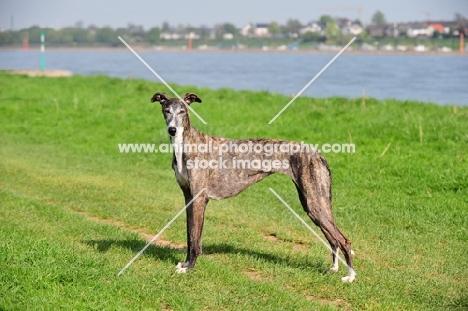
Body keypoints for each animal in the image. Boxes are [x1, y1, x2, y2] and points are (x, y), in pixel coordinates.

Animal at [152, 92, 356, 282]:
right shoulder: (189, 197)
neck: (189, 143)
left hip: (315, 203)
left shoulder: (199, 199)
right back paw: (335, 268)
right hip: (312, 203)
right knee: (333, 239)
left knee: (343, 240)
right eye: (166, 110)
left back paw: (350, 276)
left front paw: (189, 268)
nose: (172, 130)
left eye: (183, 111)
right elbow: (190, 235)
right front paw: (185, 264)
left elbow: (195, 239)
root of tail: (319, 154)